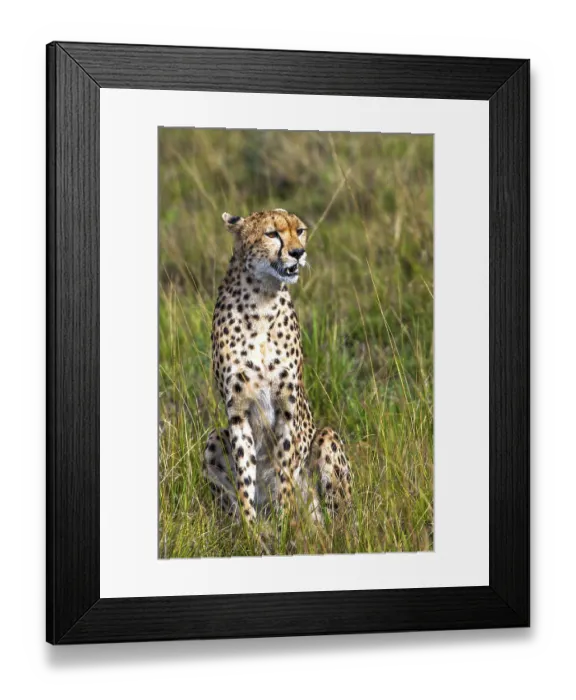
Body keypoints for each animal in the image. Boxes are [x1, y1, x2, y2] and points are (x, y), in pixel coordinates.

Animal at [203, 208, 352, 524]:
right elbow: (245, 477)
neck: (261, 299)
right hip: (214, 437)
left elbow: (284, 469)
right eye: (272, 234)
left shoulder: (287, 405)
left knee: (342, 520)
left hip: (327, 437)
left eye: (301, 231)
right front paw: (250, 529)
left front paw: (286, 523)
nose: (298, 253)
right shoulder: (238, 411)